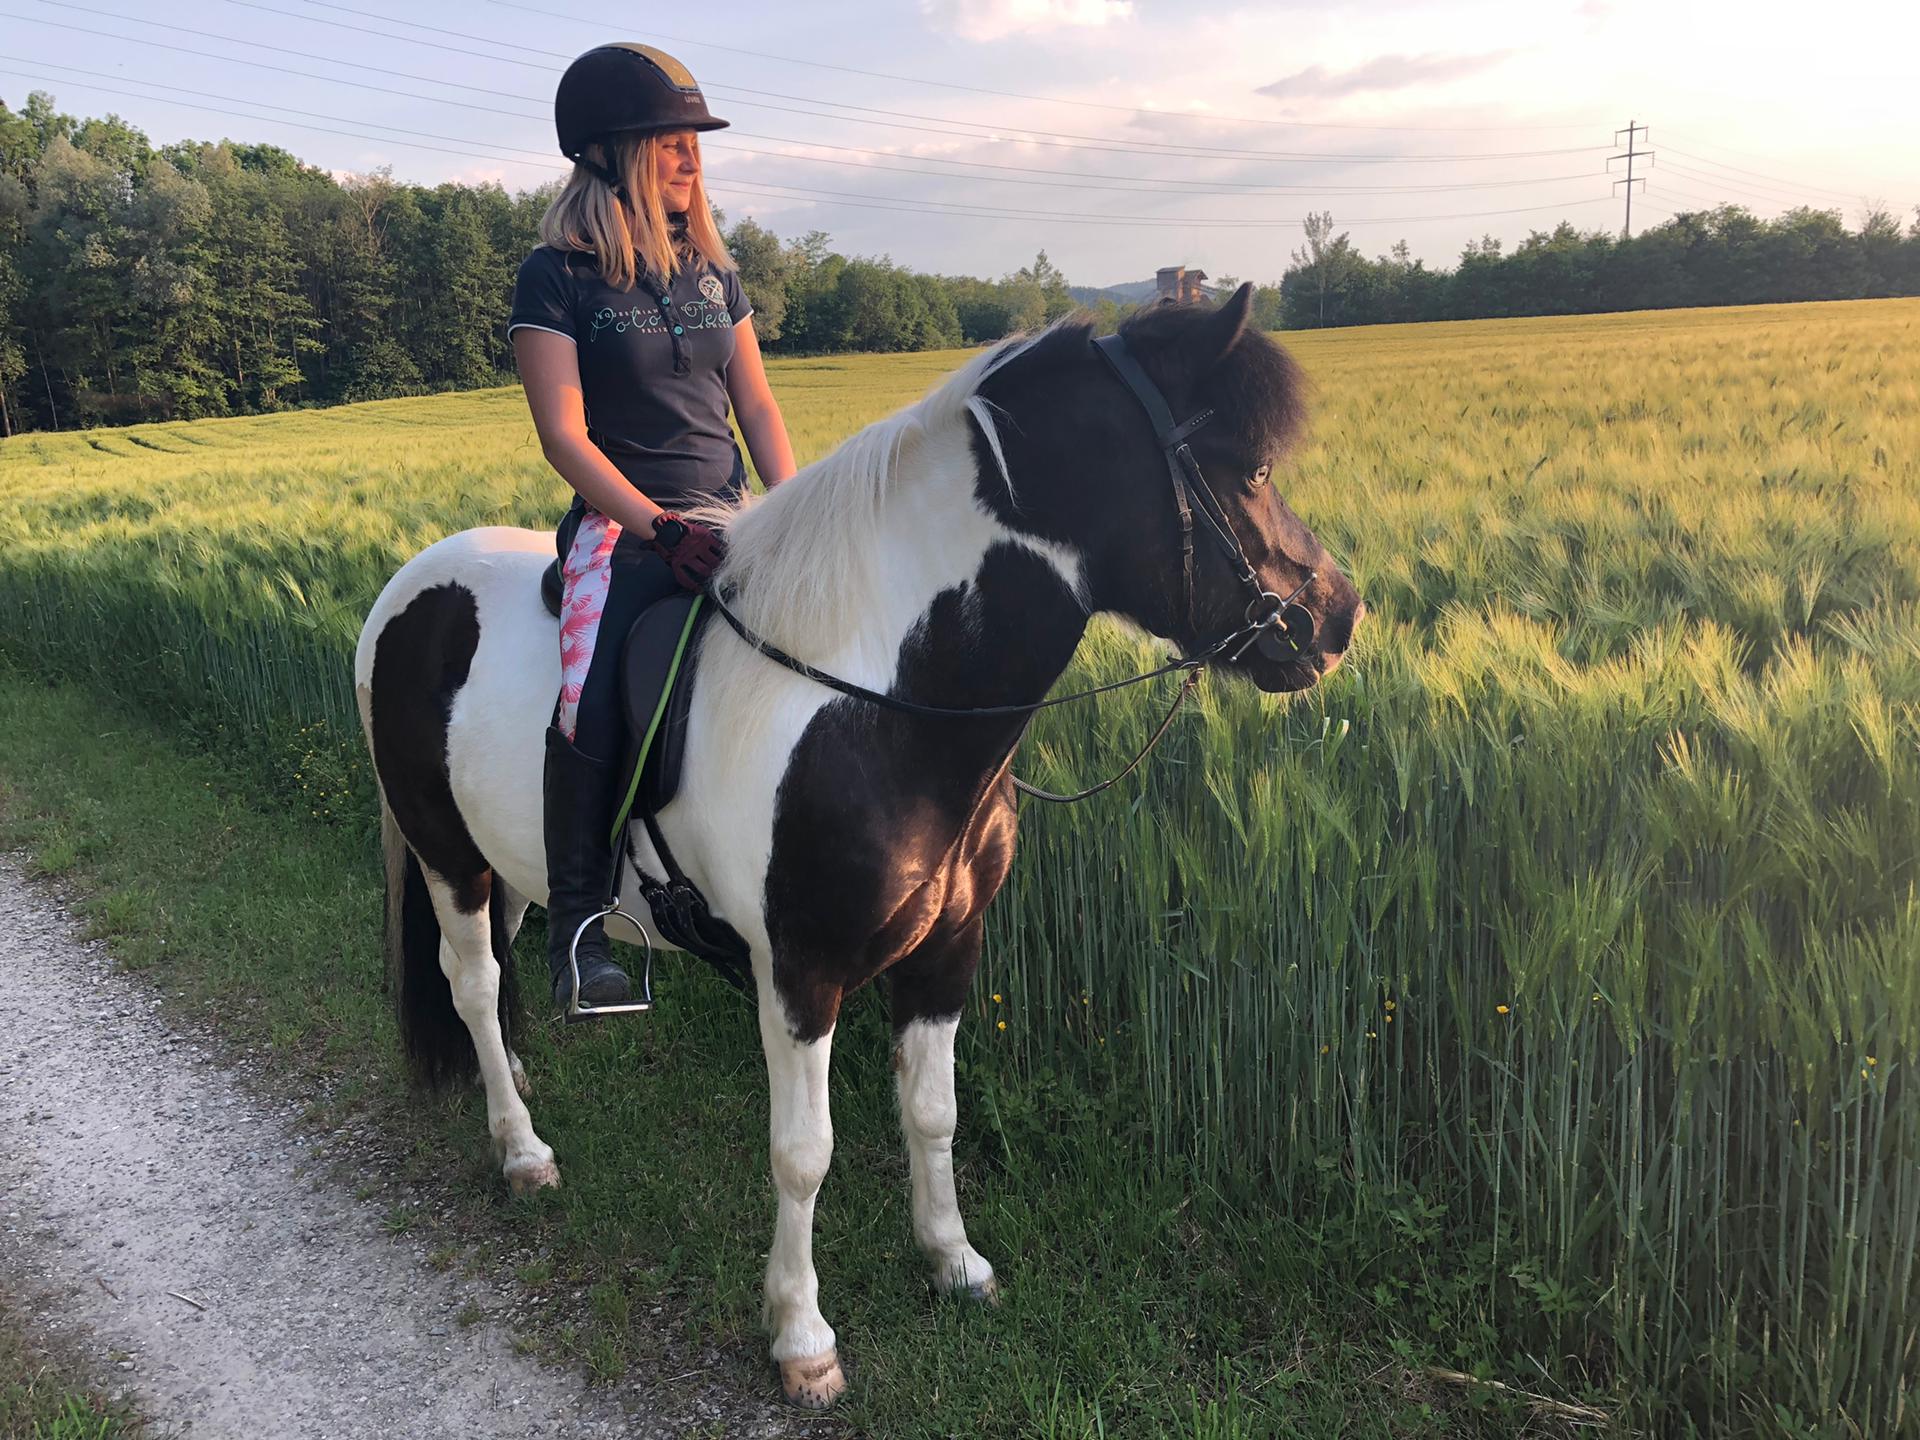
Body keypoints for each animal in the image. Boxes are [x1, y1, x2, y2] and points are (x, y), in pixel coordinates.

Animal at [352, 282, 1363, 1408]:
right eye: (1254, 469)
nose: (1338, 618)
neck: (878, 699)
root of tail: (411, 583)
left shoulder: (948, 951)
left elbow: (933, 1109)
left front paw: (954, 1260)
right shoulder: (802, 971)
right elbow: (805, 1153)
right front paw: (802, 1337)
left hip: (509, 860)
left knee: (500, 970)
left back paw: (519, 1082)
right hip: (445, 849)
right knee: (473, 983)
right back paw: (521, 1149)